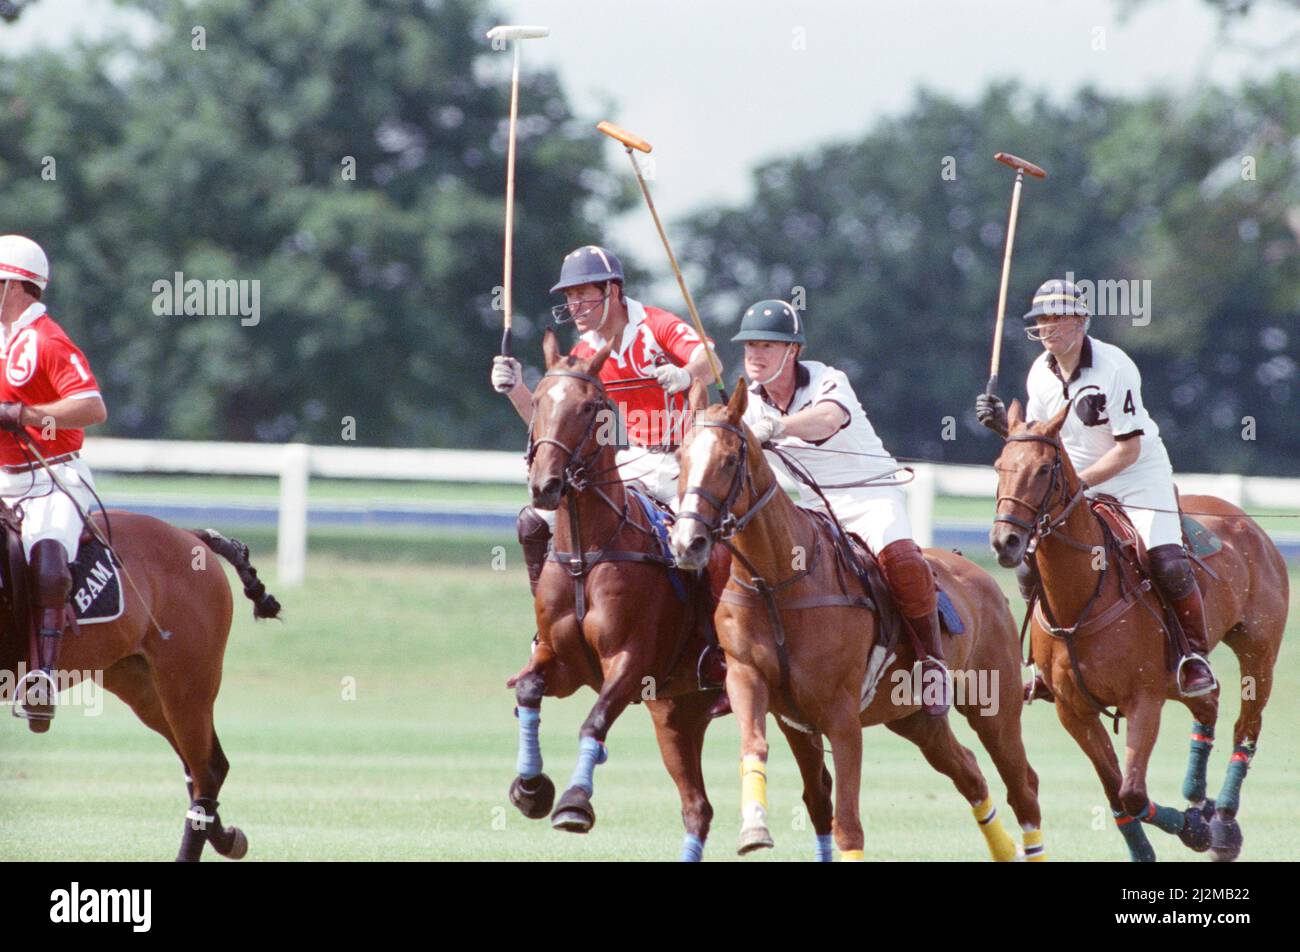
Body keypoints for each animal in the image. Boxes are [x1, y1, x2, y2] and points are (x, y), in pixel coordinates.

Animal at [0, 512, 279, 863]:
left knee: (209, 770)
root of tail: (188, 534)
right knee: (201, 766)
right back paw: (229, 838)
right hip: (139, 684)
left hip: (187, 683)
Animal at [506, 330, 728, 858]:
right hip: (679, 712)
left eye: (590, 407)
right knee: (698, 807)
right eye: (539, 400)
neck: (586, 552)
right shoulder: (564, 663)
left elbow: (594, 721)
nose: (546, 486)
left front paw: (574, 802)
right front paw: (530, 788)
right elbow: (529, 689)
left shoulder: (631, 662)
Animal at [676, 382, 1040, 863]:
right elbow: (760, 750)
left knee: (1023, 785)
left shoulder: (841, 715)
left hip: (994, 706)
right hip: (915, 718)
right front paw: (754, 828)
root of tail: (985, 579)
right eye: (681, 457)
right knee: (969, 771)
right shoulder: (755, 685)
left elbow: (847, 825)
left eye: (729, 460)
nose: (687, 543)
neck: (776, 581)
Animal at [987, 400, 1284, 863]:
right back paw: (1199, 797)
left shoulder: (1143, 699)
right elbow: (1116, 793)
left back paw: (1223, 821)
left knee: (1245, 728)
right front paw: (1166, 836)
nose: (1006, 542)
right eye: (1000, 465)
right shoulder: (1073, 710)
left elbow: (1131, 792)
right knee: (1208, 701)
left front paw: (1197, 831)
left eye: (1043, 469)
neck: (1082, 596)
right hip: (1180, 674)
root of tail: (1247, 522)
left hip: (1258, 652)